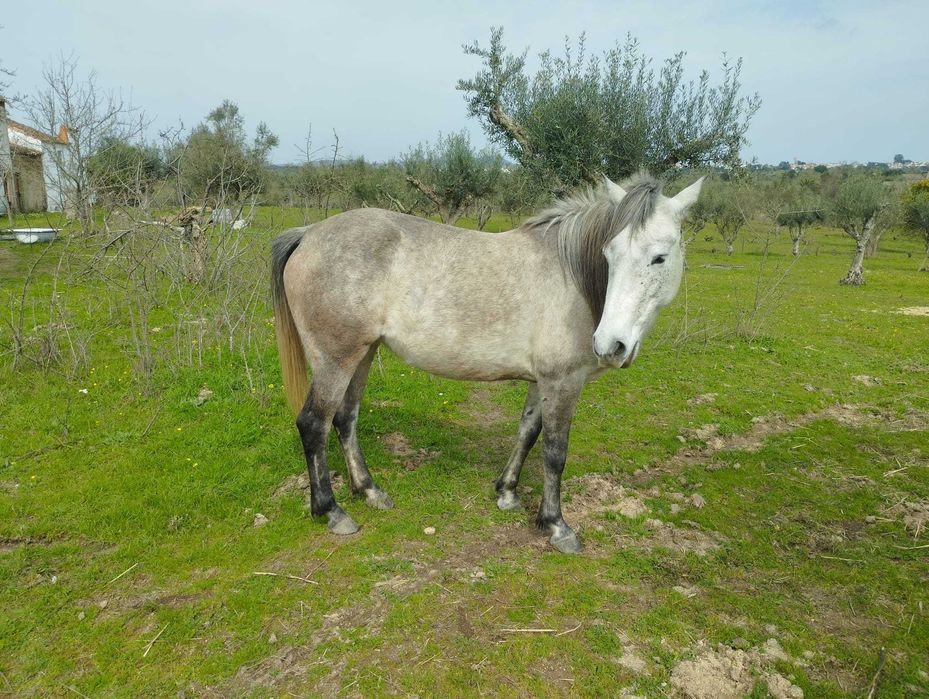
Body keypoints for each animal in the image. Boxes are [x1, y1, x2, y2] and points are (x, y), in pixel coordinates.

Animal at [271, 172, 704, 553]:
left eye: (659, 258)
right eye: (609, 254)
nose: (610, 344)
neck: (574, 277)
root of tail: (308, 233)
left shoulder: (541, 381)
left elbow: (528, 432)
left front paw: (507, 492)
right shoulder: (563, 381)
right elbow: (554, 451)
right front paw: (556, 525)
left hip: (362, 354)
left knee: (346, 419)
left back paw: (369, 490)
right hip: (335, 359)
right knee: (314, 424)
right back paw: (332, 511)